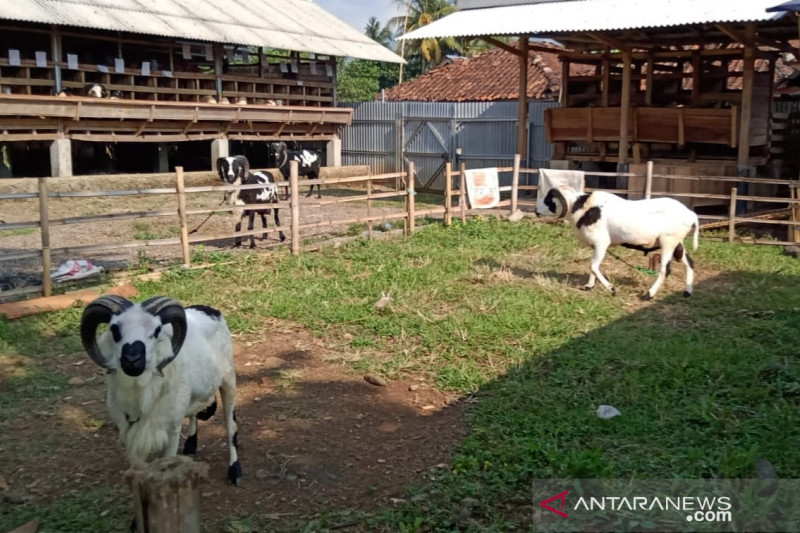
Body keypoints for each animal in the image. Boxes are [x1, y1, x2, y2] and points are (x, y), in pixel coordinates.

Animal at [81, 294, 245, 484]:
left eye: (157, 330)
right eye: (115, 329)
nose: (132, 360)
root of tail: (210, 310)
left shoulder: (172, 429)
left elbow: (168, 461)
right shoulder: (130, 430)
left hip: (228, 381)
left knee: (230, 426)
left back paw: (234, 470)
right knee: (195, 411)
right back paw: (191, 444)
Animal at [536, 186, 700, 300]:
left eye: (549, 200)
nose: (536, 211)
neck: (582, 208)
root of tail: (691, 214)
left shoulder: (602, 242)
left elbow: (593, 266)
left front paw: (611, 289)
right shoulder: (596, 245)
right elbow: (592, 266)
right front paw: (589, 286)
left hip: (668, 241)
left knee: (665, 270)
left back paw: (648, 295)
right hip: (677, 243)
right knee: (690, 263)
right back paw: (687, 292)